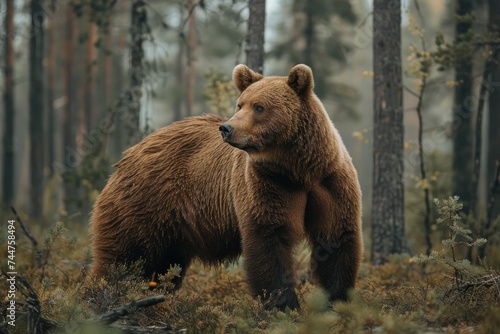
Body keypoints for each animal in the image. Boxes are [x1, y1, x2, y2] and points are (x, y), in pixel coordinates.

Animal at [91, 63, 364, 310]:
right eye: (240, 104)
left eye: (259, 107)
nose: (226, 128)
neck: (297, 169)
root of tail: (132, 151)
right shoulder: (267, 183)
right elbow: (268, 239)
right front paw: (283, 305)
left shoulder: (329, 182)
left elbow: (336, 238)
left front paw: (336, 303)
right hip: (143, 202)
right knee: (122, 256)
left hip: (169, 230)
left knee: (163, 266)